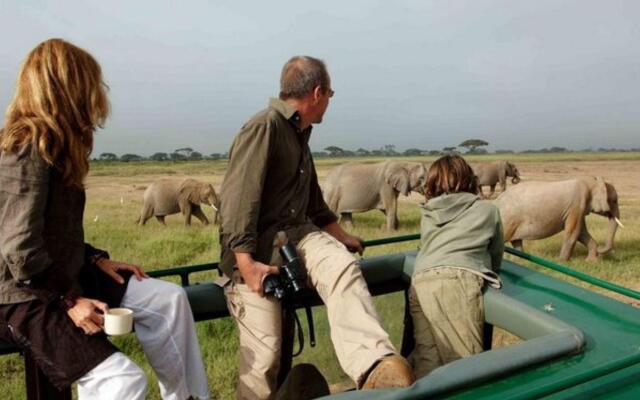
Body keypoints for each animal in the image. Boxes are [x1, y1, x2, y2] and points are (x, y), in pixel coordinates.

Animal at [496, 177, 624, 260]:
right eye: (614, 201)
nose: (600, 249)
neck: (592, 182)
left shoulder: (578, 209)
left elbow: (582, 232)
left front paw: (591, 261)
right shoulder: (577, 205)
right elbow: (574, 232)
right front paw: (561, 262)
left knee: (516, 241)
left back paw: (521, 260)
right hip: (507, 220)